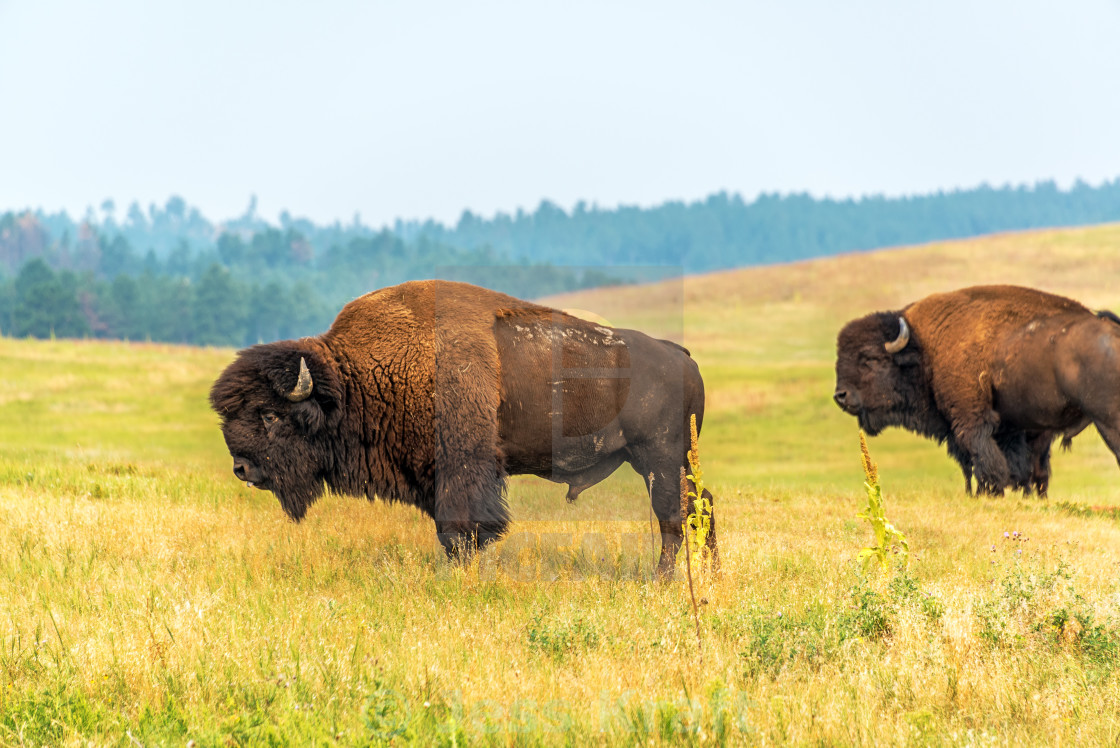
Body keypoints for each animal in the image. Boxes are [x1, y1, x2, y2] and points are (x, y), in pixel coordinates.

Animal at [208, 277, 707, 577]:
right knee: (701, 508)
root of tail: (679, 355)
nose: (241, 468)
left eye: (269, 415)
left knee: (674, 516)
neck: (356, 378)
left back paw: (661, 581)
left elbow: (461, 529)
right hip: (672, 461)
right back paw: (707, 573)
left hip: (659, 459)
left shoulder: (462, 470)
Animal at [833, 286, 1120, 497]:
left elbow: (983, 457)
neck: (925, 348)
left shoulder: (970, 419)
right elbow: (1004, 464)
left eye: (870, 358)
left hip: (1108, 420)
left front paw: (991, 492)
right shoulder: (1008, 427)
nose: (840, 396)